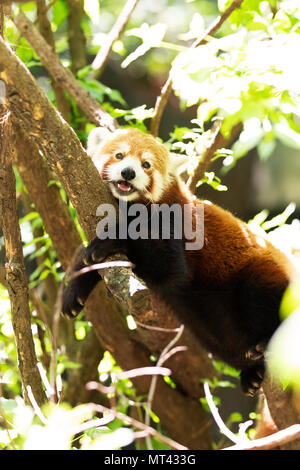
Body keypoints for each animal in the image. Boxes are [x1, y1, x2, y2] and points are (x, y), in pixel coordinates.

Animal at [62, 126, 296, 394]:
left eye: (146, 165)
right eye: (119, 155)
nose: (129, 172)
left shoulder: (175, 225)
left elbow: (169, 269)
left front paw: (111, 241)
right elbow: (90, 260)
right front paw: (74, 290)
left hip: (260, 274)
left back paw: (266, 341)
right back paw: (253, 373)